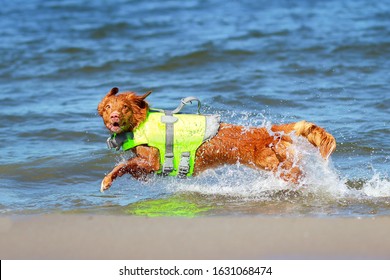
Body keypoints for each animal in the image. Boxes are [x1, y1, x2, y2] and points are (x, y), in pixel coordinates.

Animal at [97, 87, 336, 192]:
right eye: (108, 107)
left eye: (124, 107)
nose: (114, 116)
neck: (140, 123)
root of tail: (267, 131)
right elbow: (132, 167)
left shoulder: (153, 160)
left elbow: (123, 164)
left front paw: (107, 180)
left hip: (278, 165)